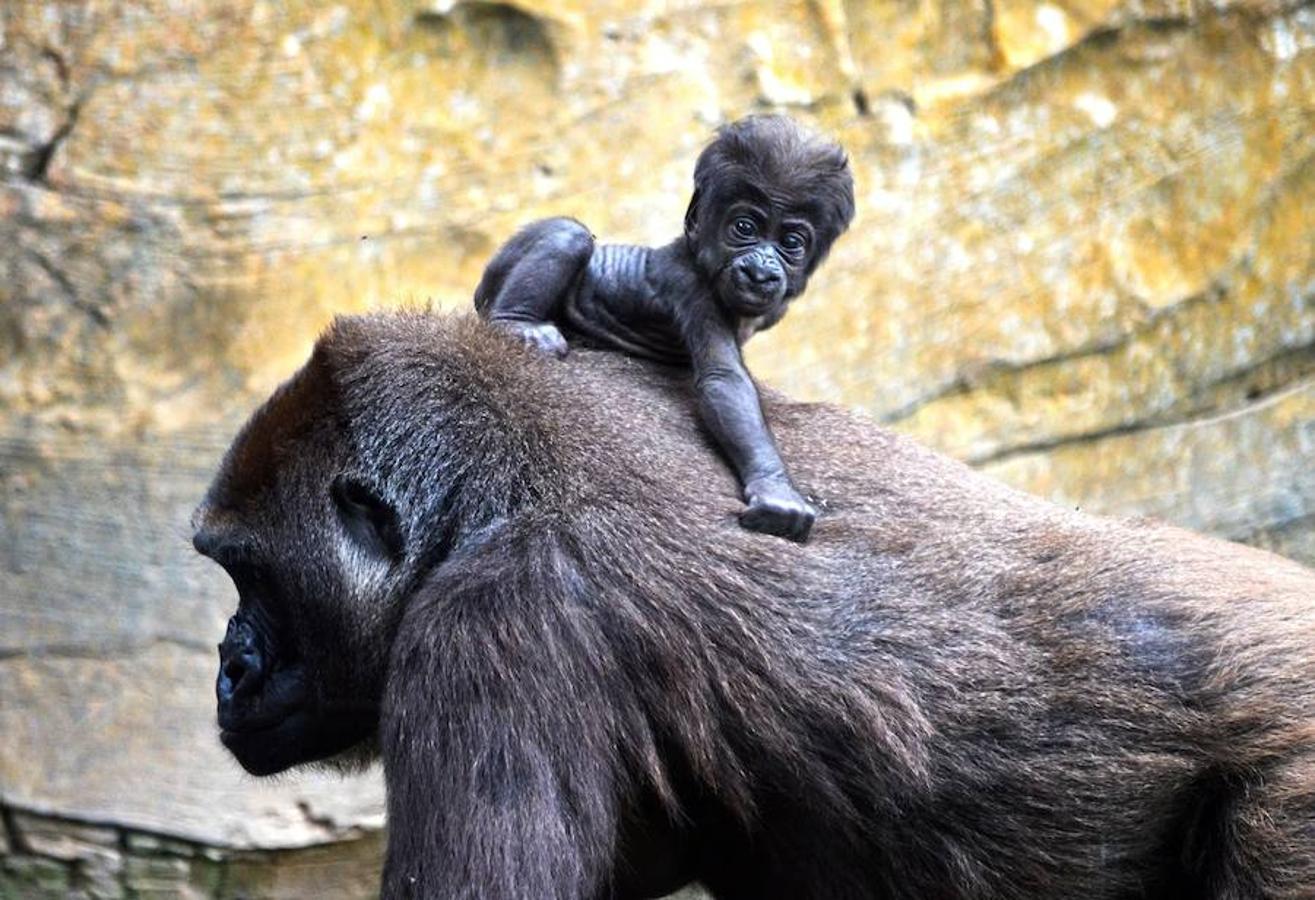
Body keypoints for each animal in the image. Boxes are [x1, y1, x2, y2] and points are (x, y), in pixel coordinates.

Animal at [473, 117, 852, 542]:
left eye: (791, 242)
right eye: (744, 227)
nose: (760, 267)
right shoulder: (694, 287)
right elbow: (725, 380)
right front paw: (775, 488)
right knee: (568, 235)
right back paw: (517, 324)